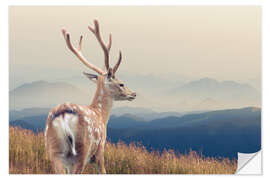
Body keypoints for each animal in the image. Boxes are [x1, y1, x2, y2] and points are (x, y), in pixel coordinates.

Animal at [45, 20, 136, 174]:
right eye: (121, 83)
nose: (133, 94)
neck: (101, 115)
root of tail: (63, 115)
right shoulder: (100, 151)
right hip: (82, 150)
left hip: (54, 151)